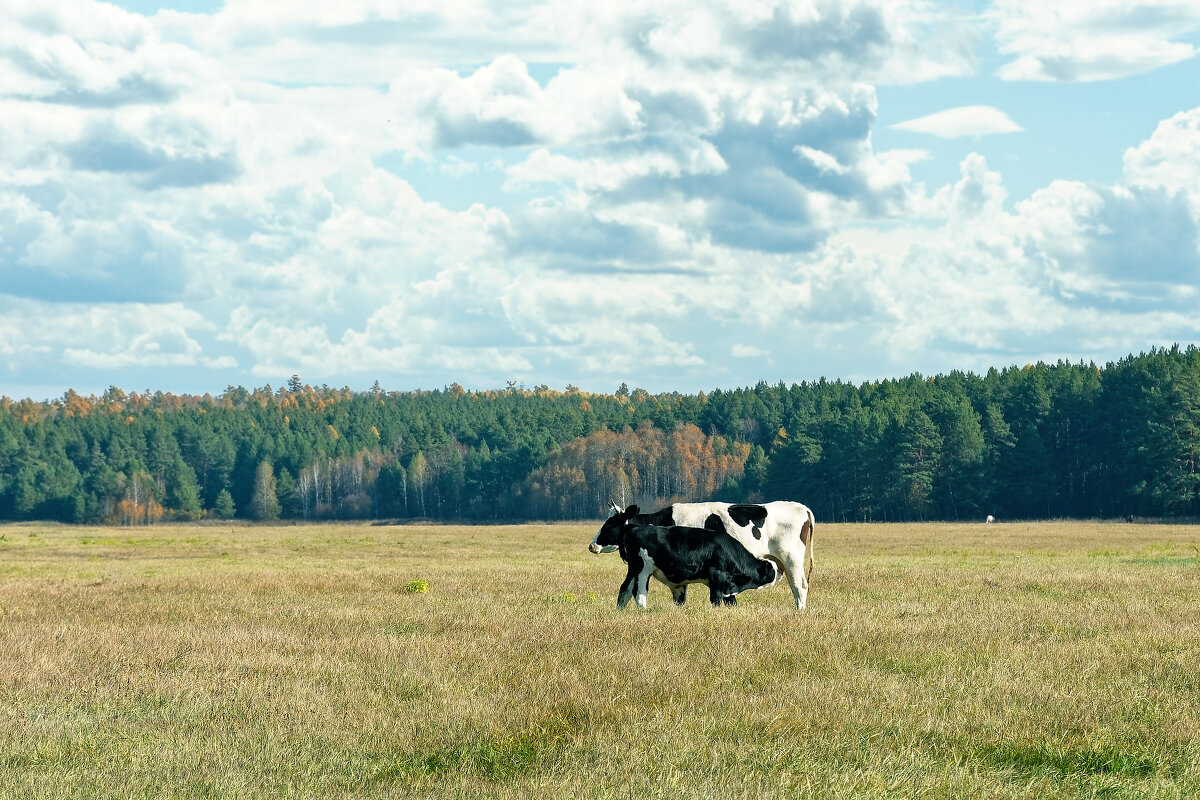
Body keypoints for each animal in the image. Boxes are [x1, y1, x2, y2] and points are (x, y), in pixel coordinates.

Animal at [590, 496, 816, 609]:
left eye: (609, 524)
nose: (592, 545)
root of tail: (802, 508)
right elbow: (626, 592)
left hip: (792, 560)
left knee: (799, 586)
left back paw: (800, 610)